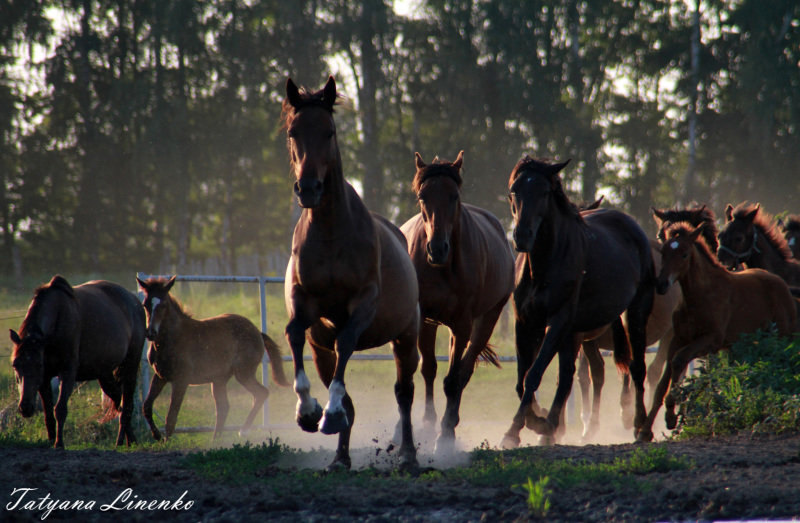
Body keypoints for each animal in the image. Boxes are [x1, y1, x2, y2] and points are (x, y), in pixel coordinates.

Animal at [137, 278, 288, 442]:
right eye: (145, 304)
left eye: (163, 304)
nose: (151, 333)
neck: (171, 339)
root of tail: (258, 333)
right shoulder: (160, 376)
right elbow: (146, 406)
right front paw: (157, 436)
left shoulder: (181, 380)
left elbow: (171, 416)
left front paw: (166, 441)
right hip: (219, 379)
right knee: (224, 407)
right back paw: (216, 440)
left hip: (243, 373)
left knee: (261, 393)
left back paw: (243, 431)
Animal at [282, 77, 418, 470]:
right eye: (293, 131)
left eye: (328, 131)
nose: (309, 188)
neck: (331, 233)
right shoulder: (304, 302)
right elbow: (293, 333)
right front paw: (308, 411)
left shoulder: (364, 302)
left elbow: (346, 341)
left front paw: (328, 413)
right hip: (321, 350)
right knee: (346, 392)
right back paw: (340, 457)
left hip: (407, 338)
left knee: (404, 394)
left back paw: (408, 455)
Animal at [400, 149, 512, 452]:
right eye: (422, 196)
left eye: (454, 196)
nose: (437, 249)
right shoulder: (424, 318)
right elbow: (428, 369)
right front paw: (427, 427)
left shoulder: (462, 324)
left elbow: (453, 379)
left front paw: (444, 437)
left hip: (486, 319)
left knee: (465, 370)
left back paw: (451, 423)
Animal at [500, 158, 656, 448]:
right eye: (514, 191)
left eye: (544, 192)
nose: (522, 236)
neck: (543, 266)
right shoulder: (526, 324)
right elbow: (523, 379)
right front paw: (533, 423)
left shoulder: (559, 321)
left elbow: (534, 374)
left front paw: (517, 429)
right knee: (570, 376)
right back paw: (552, 427)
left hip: (637, 311)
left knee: (637, 367)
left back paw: (641, 427)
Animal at [640, 221, 796, 442]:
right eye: (663, 252)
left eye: (684, 254)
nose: (661, 285)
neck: (700, 295)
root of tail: (783, 285)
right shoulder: (678, 338)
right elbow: (664, 380)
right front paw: (645, 431)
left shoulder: (711, 340)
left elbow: (678, 361)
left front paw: (671, 416)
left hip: (784, 337)